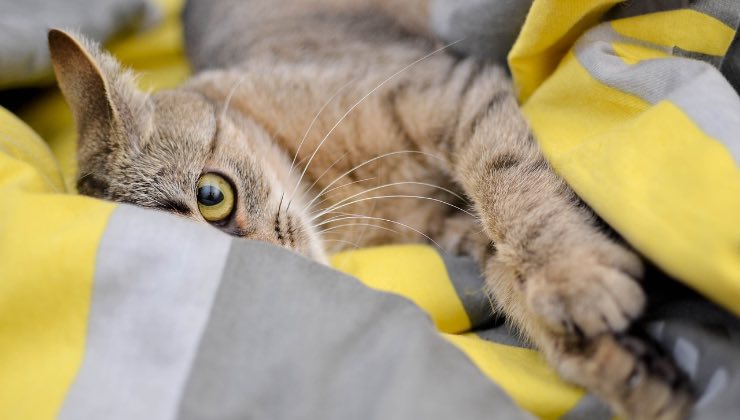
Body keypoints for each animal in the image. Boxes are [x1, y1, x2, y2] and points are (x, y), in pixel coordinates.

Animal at [47, 0, 692, 416]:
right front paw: (619, 364)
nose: (280, 265)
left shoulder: (458, 92)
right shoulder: (453, 224)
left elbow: (511, 184)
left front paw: (574, 276)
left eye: (212, 196)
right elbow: (510, 278)